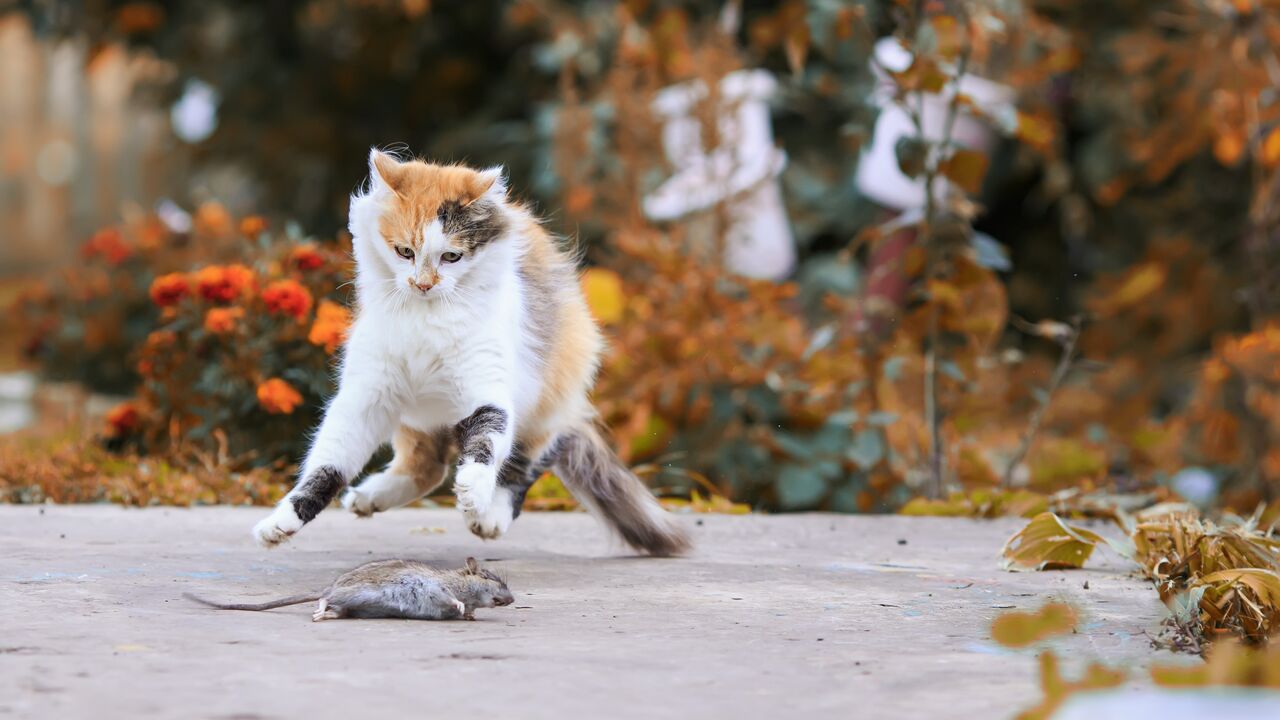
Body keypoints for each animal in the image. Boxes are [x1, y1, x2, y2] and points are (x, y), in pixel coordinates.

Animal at [250, 147, 691, 556]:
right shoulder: (366, 396)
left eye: (451, 256)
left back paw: (489, 517)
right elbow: (326, 465)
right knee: (427, 466)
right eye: (404, 252)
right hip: (416, 415)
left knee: (521, 467)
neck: (425, 319)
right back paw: (369, 497)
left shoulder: (488, 387)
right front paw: (281, 523)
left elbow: (486, 443)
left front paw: (472, 492)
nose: (423, 284)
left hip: (544, 406)